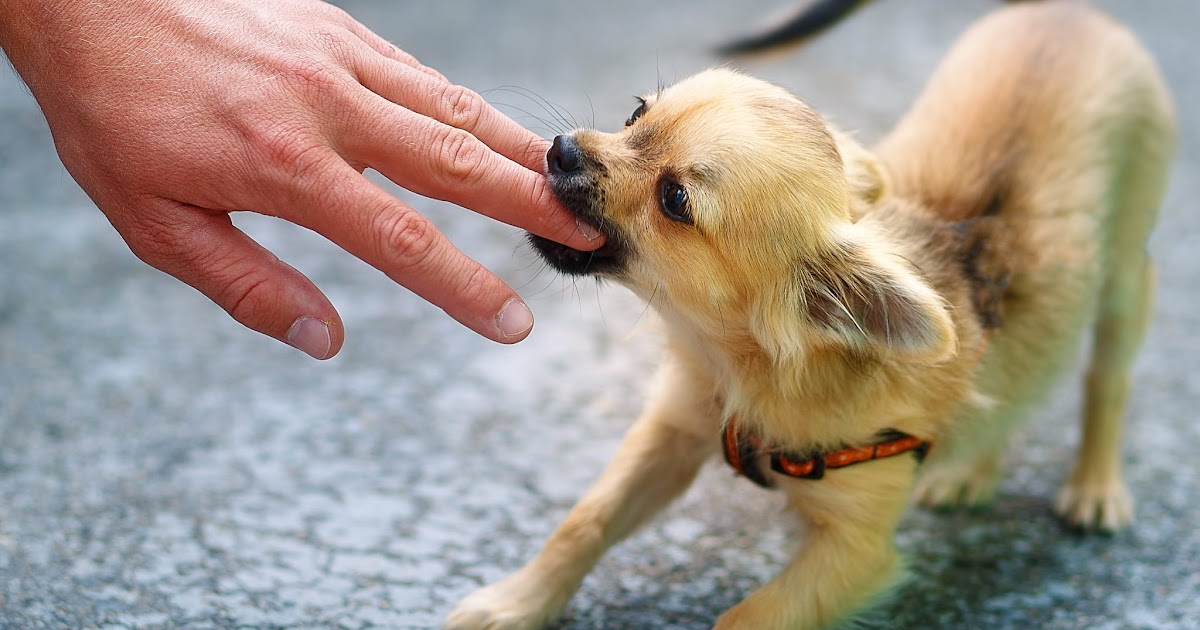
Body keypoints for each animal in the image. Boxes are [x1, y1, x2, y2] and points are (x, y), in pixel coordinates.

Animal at [441, 2, 1171, 624]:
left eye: (675, 200)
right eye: (634, 115)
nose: (561, 148)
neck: (739, 367)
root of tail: (1067, 13)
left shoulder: (855, 550)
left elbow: (744, 618)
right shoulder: (672, 431)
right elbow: (583, 521)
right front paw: (516, 603)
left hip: (1126, 280)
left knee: (1106, 380)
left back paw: (1095, 487)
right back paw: (971, 469)